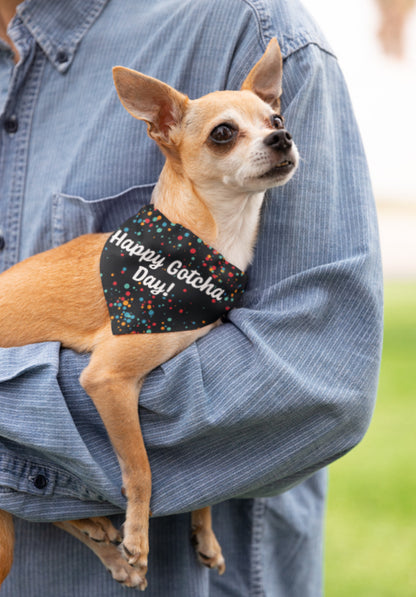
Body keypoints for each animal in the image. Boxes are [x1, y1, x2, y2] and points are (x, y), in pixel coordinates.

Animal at [0, 39, 300, 588]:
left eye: (276, 117)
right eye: (223, 133)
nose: (282, 137)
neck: (205, 244)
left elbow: (205, 479)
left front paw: (202, 531)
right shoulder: (108, 379)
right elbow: (140, 467)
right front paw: (138, 536)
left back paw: (101, 538)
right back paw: (107, 538)